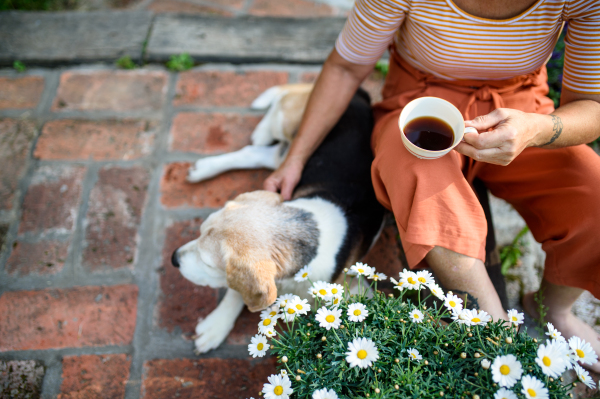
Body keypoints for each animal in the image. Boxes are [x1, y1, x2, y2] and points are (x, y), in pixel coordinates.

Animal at [170, 83, 384, 354]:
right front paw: (216, 325)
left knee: (261, 153)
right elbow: (235, 292)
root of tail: (361, 95)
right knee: (277, 108)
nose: (174, 259)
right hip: (290, 126)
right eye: (198, 233)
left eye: (207, 263)